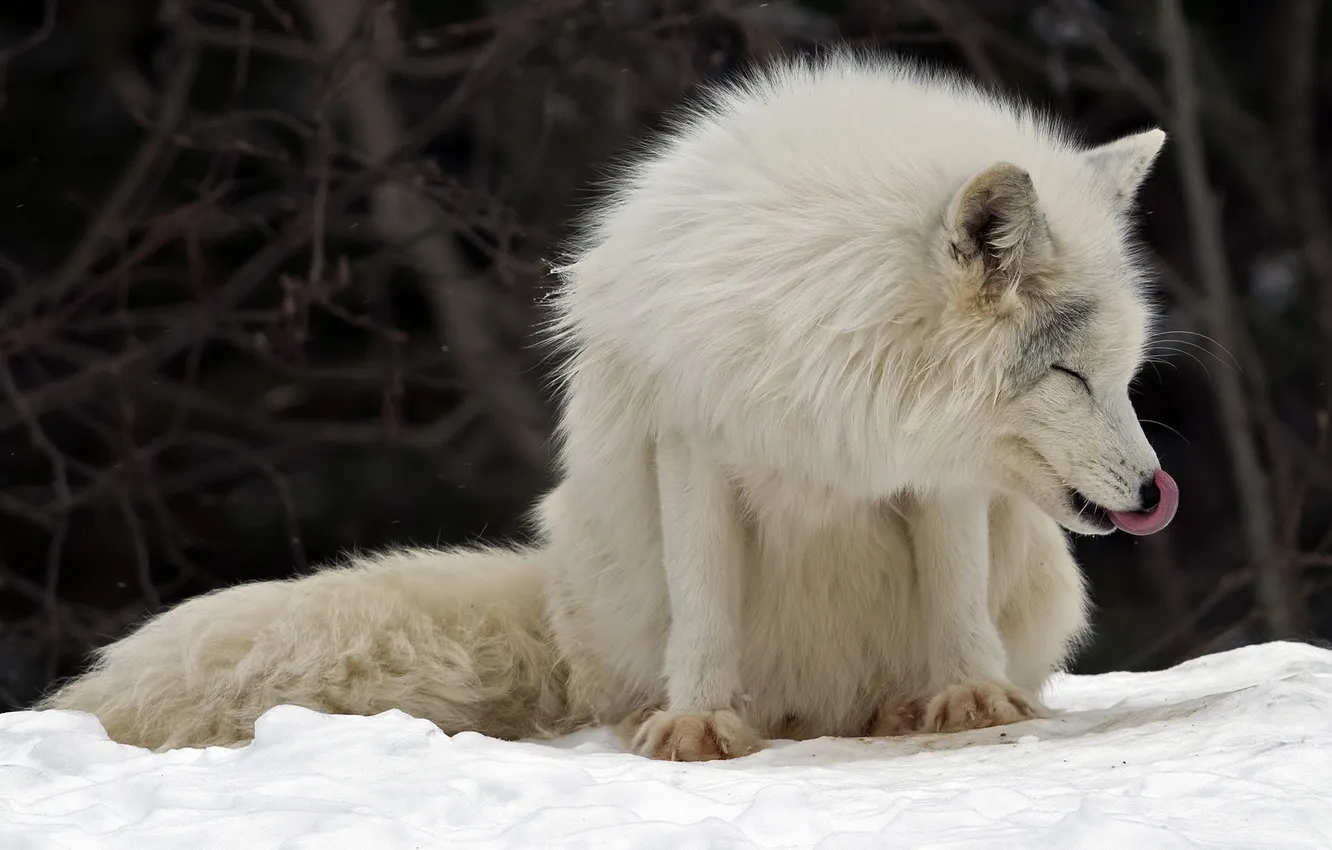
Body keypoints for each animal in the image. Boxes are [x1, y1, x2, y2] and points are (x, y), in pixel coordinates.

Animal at [39, 51, 1179, 761]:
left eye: (1123, 377)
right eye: (1073, 378)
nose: (1155, 491)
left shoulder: (928, 469)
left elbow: (955, 601)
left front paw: (968, 703)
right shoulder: (693, 435)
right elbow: (706, 608)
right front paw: (698, 729)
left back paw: (904, 707)